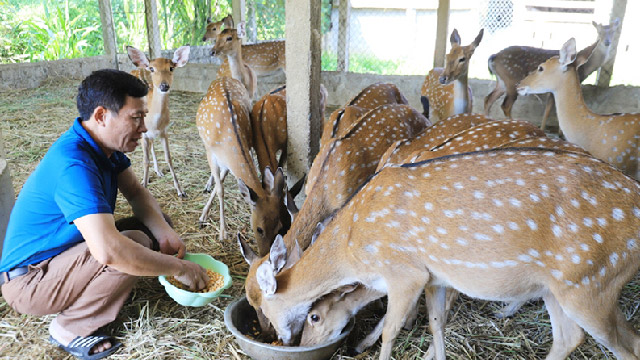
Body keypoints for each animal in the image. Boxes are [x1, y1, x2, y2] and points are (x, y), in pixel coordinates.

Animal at [127, 45, 190, 198]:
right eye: (151, 68)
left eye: (171, 68)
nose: (164, 86)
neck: (153, 122)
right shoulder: (143, 134)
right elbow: (145, 160)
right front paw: (144, 185)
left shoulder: (164, 131)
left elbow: (168, 158)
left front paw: (181, 191)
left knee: (152, 146)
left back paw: (158, 171)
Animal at [251, 147, 640, 360]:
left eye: (314, 316)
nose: (287, 341)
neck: (353, 246)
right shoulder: (434, 277)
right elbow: (437, 322)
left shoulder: (405, 271)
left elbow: (391, 329)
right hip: (566, 287)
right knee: (575, 338)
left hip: (589, 279)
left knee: (625, 345)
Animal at [484, 18, 620, 131]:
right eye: (599, 32)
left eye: (613, 32)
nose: (607, 42)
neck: (586, 68)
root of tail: (493, 57)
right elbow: (551, 107)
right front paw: (553, 131)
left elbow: (549, 107)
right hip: (512, 79)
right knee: (505, 105)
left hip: (501, 82)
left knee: (488, 98)